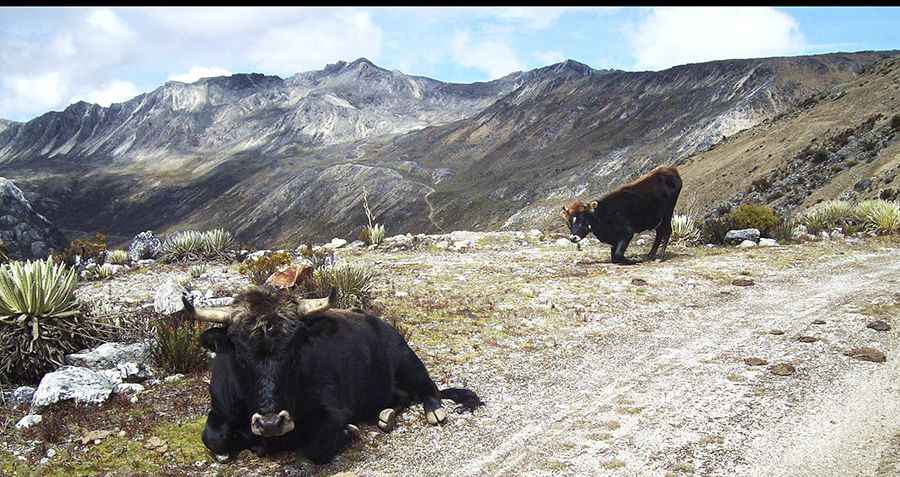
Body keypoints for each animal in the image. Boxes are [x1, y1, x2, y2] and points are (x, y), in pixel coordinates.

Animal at [182, 288, 486, 462]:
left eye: (295, 349)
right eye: (239, 354)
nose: (270, 423)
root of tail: (381, 323)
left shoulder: (334, 410)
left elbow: (317, 447)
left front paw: (349, 432)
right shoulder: (219, 409)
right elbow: (213, 439)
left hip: (408, 361)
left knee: (428, 389)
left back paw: (434, 411)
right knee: (401, 398)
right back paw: (385, 415)